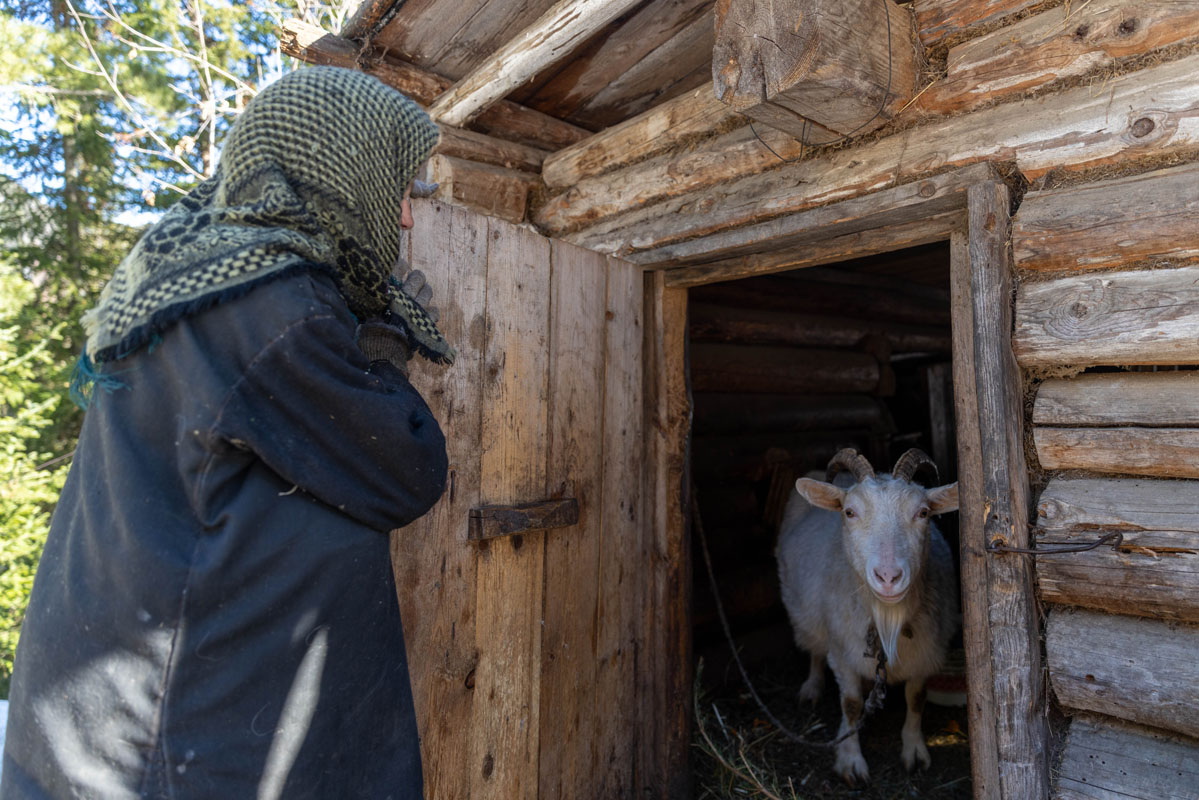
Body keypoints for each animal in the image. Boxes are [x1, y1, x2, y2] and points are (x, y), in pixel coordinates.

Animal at [772, 448, 959, 786]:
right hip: (804, 612)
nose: (888, 577)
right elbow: (851, 704)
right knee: (814, 649)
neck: (887, 617)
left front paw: (914, 752)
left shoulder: (925, 655)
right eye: (849, 512)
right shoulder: (843, 653)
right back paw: (812, 687)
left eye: (923, 513)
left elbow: (916, 698)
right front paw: (850, 761)